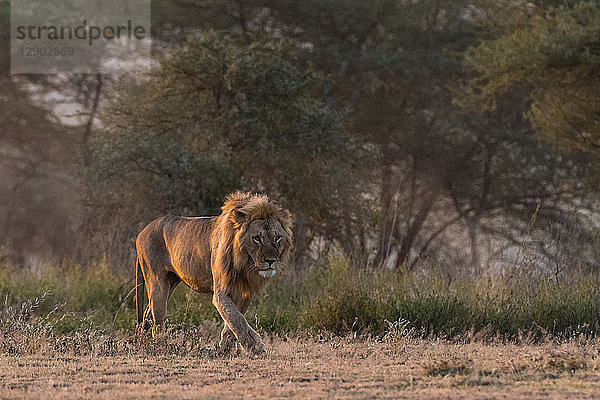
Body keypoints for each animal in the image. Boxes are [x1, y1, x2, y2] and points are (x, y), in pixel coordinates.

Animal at [137, 191, 296, 354]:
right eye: (257, 238)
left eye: (277, 238)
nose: (271, 261)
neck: (244, 264)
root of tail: (142, 231)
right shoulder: (221, 292)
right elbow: (236, 318)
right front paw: (251, 346)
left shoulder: (244, 291)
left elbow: (234, 320)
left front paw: (227, 347)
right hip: (157, 281)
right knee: (157, 318)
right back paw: (159, 345)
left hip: (171, 281)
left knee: (148, 313)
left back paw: (145, 342)